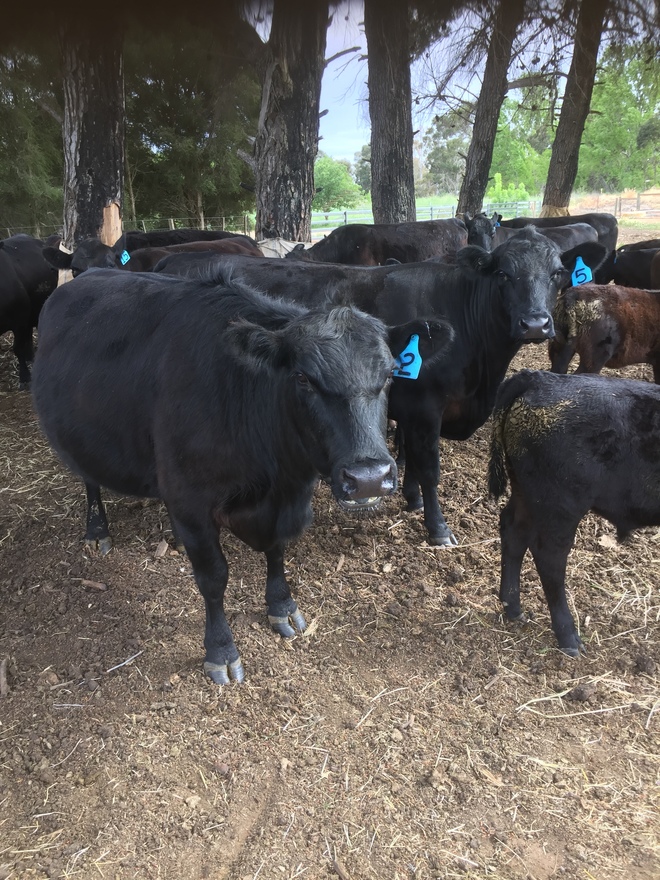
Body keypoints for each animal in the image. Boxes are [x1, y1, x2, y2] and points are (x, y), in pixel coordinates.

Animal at [32, 268, 453, 684]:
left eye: (391, 373)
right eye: (303, 378)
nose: (368, 477)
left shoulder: (287, 499)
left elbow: (278, 550)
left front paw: (282, 606)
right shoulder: (190, 503)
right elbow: (214, 577)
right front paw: (221, 650)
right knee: (89, 479)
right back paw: (96, 530)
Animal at [154, 228, 607, 546]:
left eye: (557, 274)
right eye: (503, 273)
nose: (535, 323)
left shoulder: (407, 406)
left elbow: (410, 458)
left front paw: (411, 498)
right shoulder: (425, 406)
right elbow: (429, 467)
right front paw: (437, 527)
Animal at [489, 369, 660, 656]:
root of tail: (540, 378)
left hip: (527, 492)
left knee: (513, 531)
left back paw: (513, 608)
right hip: (561, 505)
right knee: (550, 558)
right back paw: (569, 638)